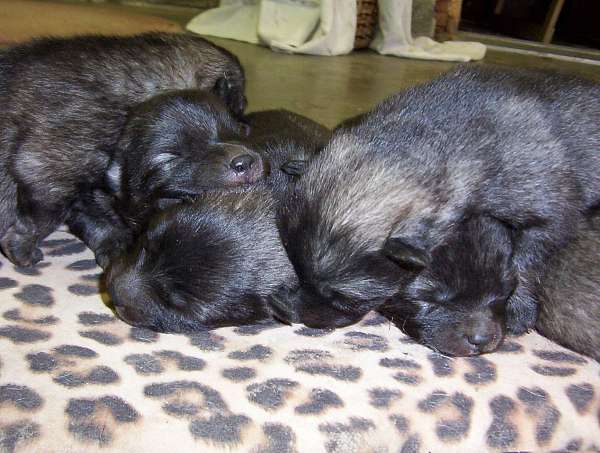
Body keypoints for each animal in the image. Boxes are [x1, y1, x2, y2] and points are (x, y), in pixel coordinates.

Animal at [274, 64, 600, 332]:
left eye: (343, 298)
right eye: (294, 268)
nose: (287, 311)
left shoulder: (548, 213)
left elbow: (526, 263)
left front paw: (517, 309)